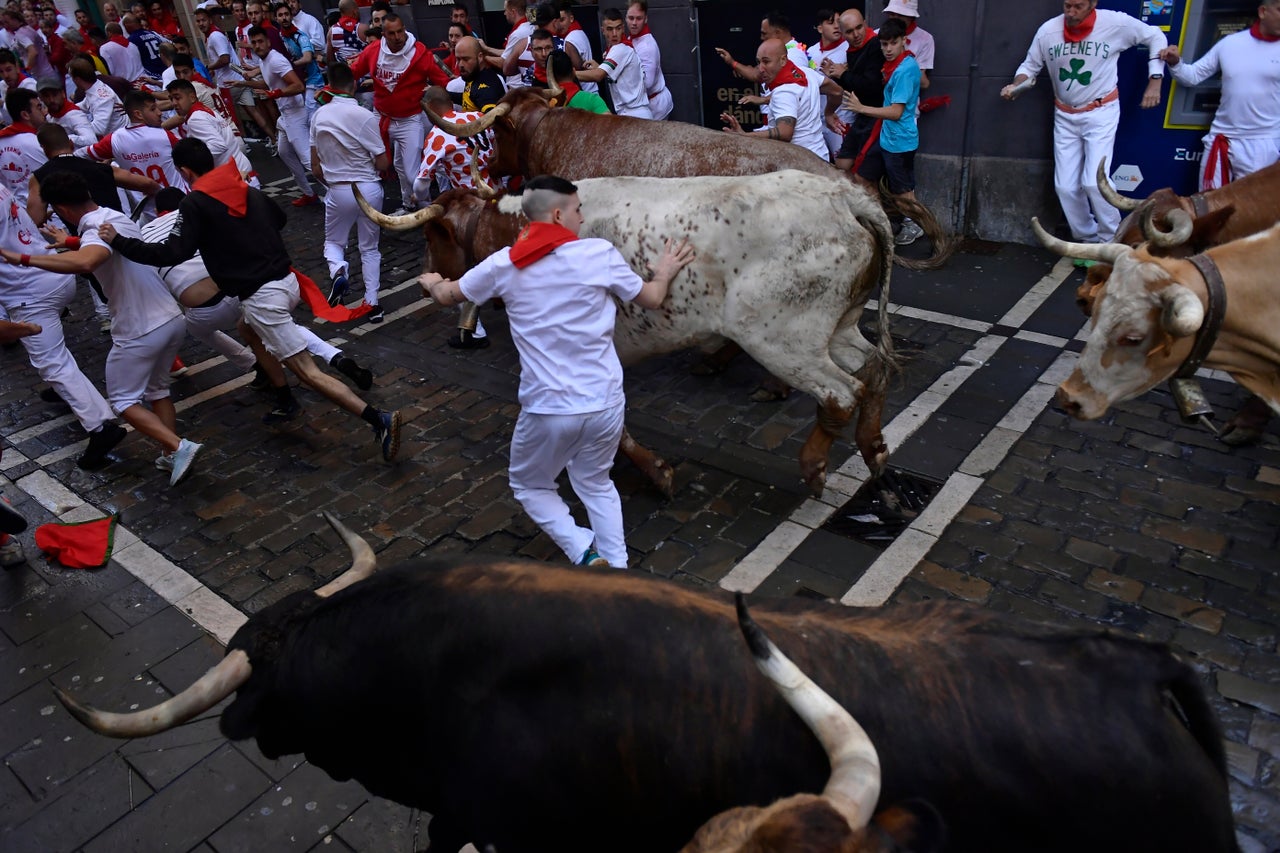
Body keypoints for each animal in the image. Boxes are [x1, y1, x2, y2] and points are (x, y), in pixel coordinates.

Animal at [366, 169, 896, 494]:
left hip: (781, 338)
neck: (519, 230)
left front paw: (657, 473)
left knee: (841, 392)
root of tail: (843, 197)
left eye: (433, 236)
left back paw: (814, 466)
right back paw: (873, 449)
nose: (427, 276)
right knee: (874, 370)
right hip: (836, 328)